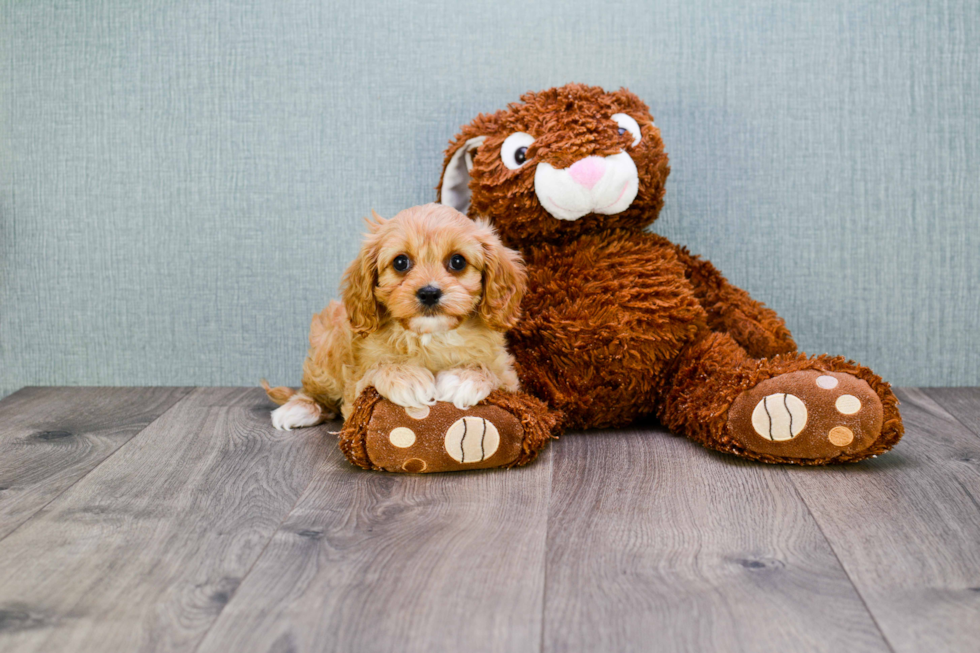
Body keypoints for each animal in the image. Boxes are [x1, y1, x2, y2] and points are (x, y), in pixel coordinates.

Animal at [262, 201, 528, 430]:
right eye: (401, 262)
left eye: (458, 262)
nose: (429, 293)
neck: (431, 335)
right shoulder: (355, 382)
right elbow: (375, 367)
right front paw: (407, 378)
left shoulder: (508, 374)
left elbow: (492, 370)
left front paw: (463, 377)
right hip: (325, 351)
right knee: (318, 392)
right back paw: (299, 408)